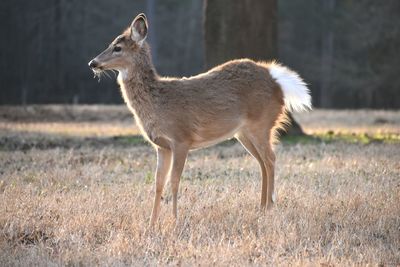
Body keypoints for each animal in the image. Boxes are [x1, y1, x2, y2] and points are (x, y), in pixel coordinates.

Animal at [89, 12, 310, 226]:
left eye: (117, 48)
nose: (93, 63)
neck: (157, 103)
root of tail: (277, 80)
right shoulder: (162, 146)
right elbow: (158, 183)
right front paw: (151, 224)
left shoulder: (181, 138)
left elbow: (174, 181)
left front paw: (174, 220)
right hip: (244, 133)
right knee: (262, 162)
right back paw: (261, 208)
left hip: (261, 124)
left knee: (271, 159)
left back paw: (270, 207)